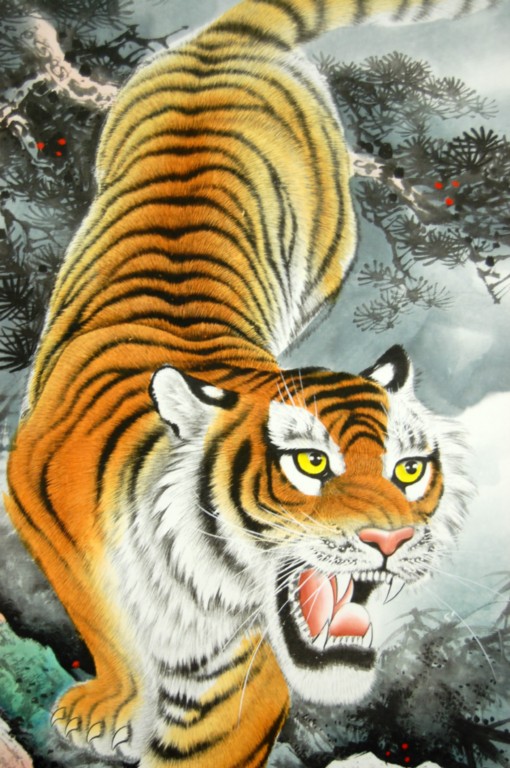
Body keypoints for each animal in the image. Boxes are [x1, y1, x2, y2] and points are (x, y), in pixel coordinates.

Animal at [5, 0, 487, 766]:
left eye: (409, 470)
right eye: (311, 462)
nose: (393, 542)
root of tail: (224, 44)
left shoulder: (238, 682)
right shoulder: (33, 501)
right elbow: (102, 618)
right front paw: (110, 702)